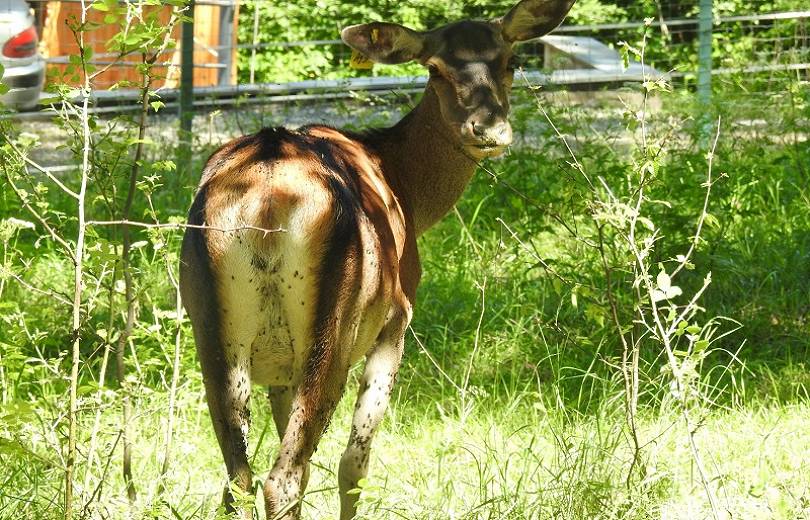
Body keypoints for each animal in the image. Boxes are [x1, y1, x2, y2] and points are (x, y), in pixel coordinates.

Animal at [178, 1, 576, 520]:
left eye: (510, 61)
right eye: (435, 68)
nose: (488, 130)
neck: (404, 186)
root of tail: (265, 200)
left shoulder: (281, 370)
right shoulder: (399, 316)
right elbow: (354, 465)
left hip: (212, 329)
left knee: (241, 480)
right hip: (338, 323)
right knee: (283, 478)